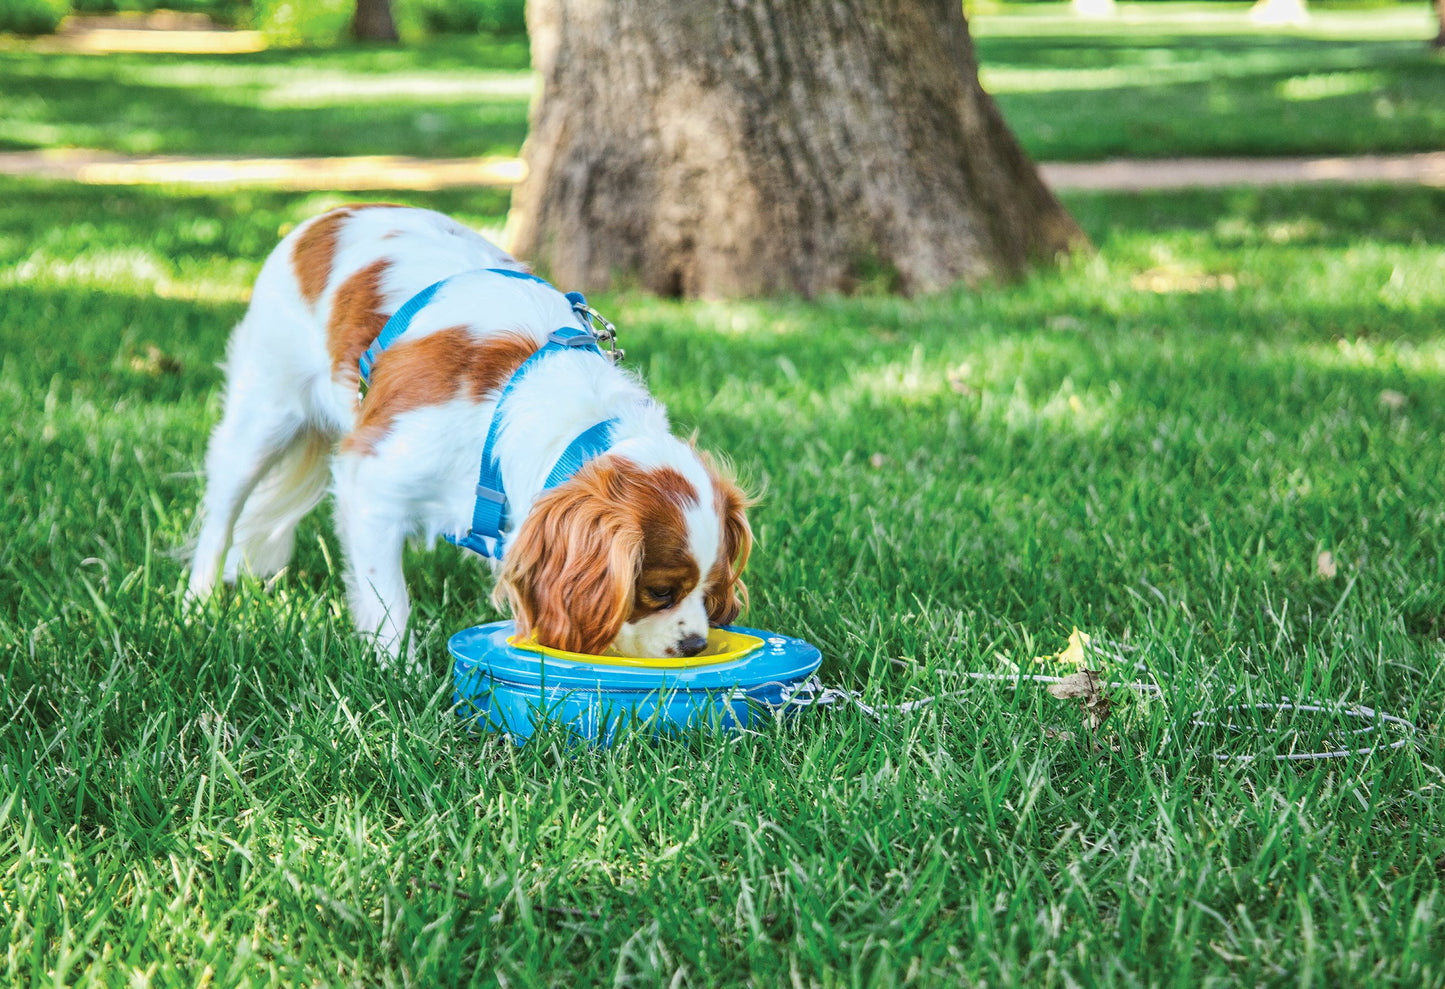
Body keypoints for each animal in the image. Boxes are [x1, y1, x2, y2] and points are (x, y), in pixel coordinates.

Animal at [186, 203, 751, 659]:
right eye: (658, 591)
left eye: (712, 589)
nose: (696, 646)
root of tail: (325, 218)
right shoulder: (369, 484)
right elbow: (387, 599)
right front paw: (400, 673)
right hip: (262, 415)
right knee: (222, 513)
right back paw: (197, 606)